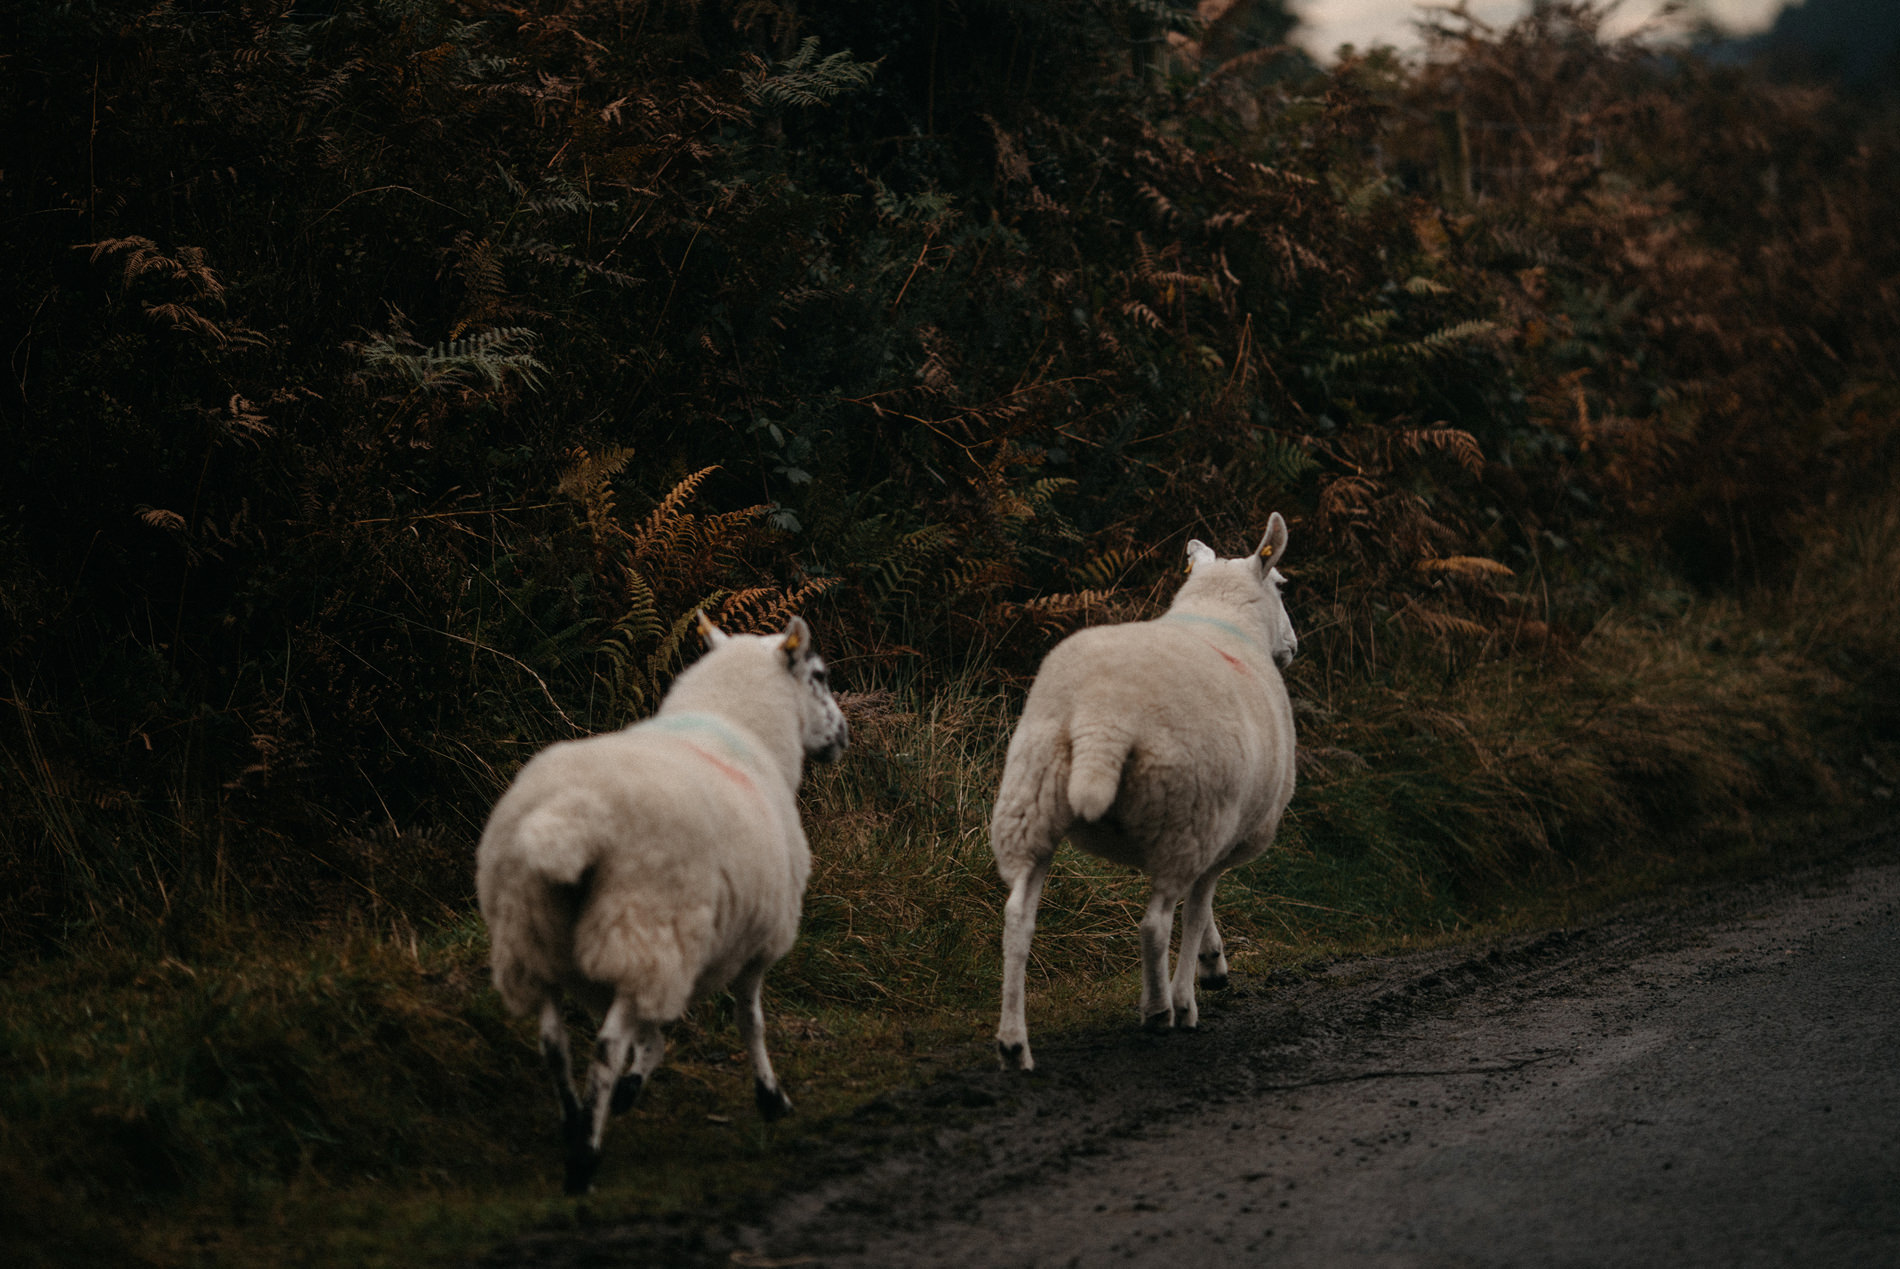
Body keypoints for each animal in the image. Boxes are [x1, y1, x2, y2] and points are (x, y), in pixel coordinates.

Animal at [478, 611, 851, 1193]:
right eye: (820, 676)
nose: (843, 735)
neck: (744, 729)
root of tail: (569, 819)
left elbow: (654, 1032)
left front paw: (633, 1084)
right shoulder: (756, 940)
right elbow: (750, 1020)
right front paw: (771, 1098)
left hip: (534, 936)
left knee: (553, 1043)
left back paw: (574, 1121)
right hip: (640, 925)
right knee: (605, 1046)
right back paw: (584, 1158)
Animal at [995, 516, 1292, 1071]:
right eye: (1283, 585)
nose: (1293, 645)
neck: (1220, 617)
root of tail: (1103, 715)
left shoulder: (1215, 834)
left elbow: (1201, 905)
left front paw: (1213, 963)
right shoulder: (1222, 826)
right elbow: (1196, 909)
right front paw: (1196, 984)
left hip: (1031, 802)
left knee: (1018, 920)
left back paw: (1013, 1043)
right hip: (1185, 810)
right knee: (1155, 924)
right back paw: (1161, 1009)